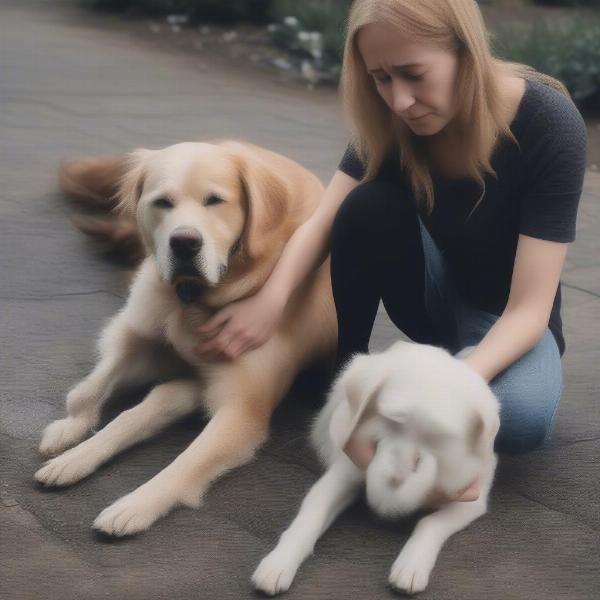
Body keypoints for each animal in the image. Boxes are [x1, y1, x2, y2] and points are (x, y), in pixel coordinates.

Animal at [251, 342, 500, 596]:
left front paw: (411, 566)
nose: (397, 478)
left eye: (437, 437)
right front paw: (279, 563)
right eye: (393, 421)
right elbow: (308, 519)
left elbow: (430, 524)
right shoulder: (341, 476)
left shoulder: (470, 503)